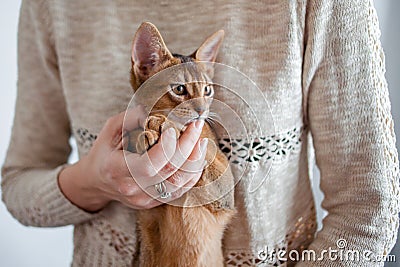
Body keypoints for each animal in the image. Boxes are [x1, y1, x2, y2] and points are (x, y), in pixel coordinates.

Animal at [128, 23, 234, 267]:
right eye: (179, 89)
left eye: (207, 90)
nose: (202, 110)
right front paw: (147, 133)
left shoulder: (225, 194)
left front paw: (163, 126)